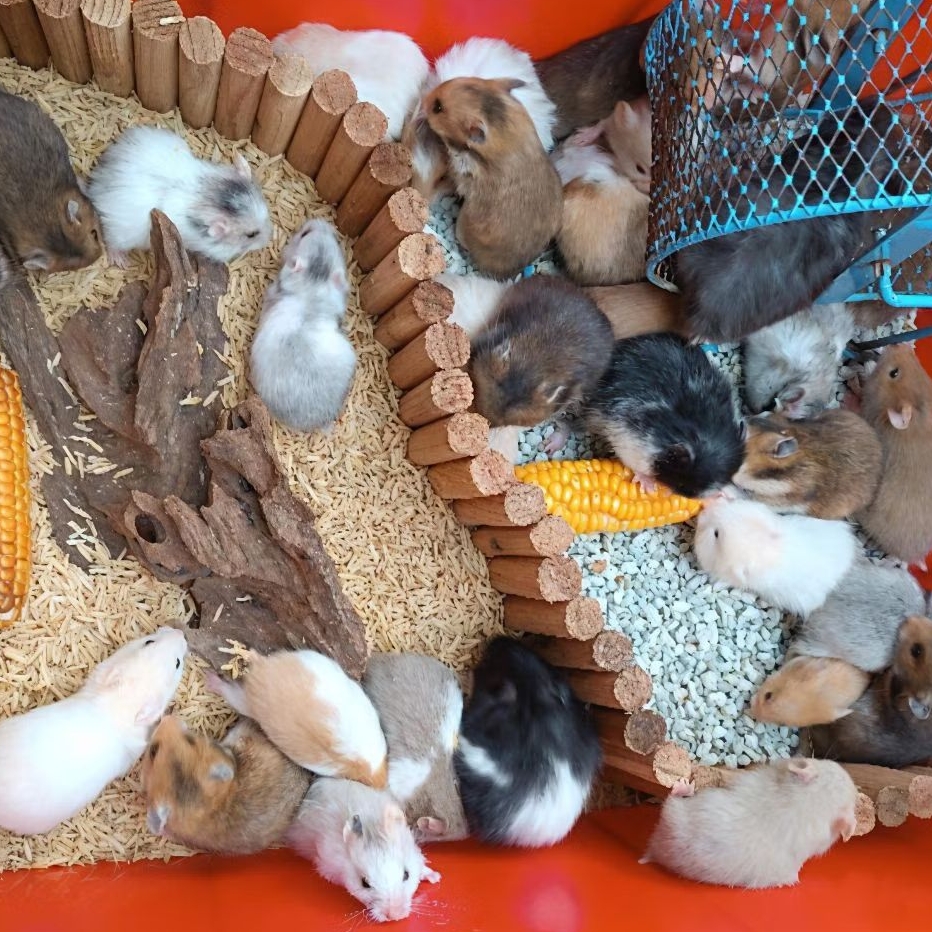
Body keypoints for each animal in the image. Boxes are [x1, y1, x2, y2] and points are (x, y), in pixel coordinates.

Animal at [87, 126, 272, 265]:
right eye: (251, 234)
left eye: (266, 214)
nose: (270, 238)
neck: (206, 194)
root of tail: (97, 182)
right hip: (122, 233)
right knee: (111, 242)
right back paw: (120, 261)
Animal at [641, 759, 858, 889]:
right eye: (827, 763)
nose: (846, 771)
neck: (809, 803)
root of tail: (655, 850)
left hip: (674, 812)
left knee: (671, 798)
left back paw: (683, 786)